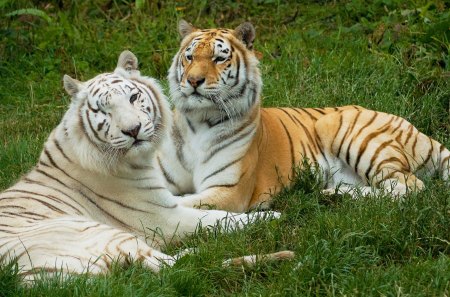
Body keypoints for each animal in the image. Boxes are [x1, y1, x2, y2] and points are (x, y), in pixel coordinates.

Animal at [0, 50, 284, 280]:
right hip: (100, 232)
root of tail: (28, 277)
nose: (132, 130)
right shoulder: (162, 216)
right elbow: (218, 218)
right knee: (174, 266)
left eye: (134, 97)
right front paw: (270, 216)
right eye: (102, 110)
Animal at [156, 19, 450, 212]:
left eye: (219, 58)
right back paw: (334, 194)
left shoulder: (228, 191)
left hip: (342, 129)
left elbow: (179, 204)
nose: (194, 81)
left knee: (411, 185)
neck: (199, 121)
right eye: (190, 57)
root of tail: (413, 127)